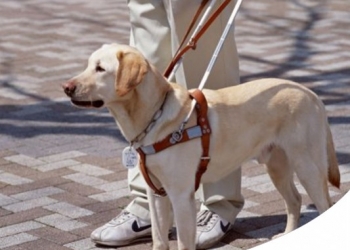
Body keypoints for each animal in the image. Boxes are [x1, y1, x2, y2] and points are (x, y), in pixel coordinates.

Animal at [62, 43, 340, 250]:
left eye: (100, 69)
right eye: (88, 65)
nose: (66, 87)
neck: (154, 117)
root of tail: (311, 93)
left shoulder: (181, 195)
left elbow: (184, 242)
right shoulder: (156, 194)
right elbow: (159, 239)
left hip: (308, 166)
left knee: (324, 206)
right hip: (278, 166)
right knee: (294, 200)